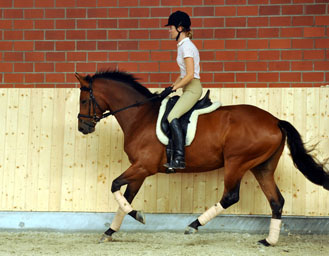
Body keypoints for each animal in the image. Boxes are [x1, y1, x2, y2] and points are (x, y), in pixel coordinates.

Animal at [75, 70, 328, 246]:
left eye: (84, 100)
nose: (83, 127)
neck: (140, 116)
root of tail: (275, 120)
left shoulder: (143, 167)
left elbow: (114, 185)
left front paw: (138, 216)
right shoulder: (139, 170)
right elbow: (125, 197)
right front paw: (110, 232)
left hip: (237, 162)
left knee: (230, 196)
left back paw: (193, 225)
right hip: (262, 167)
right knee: (276, 201)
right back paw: (268, 241)